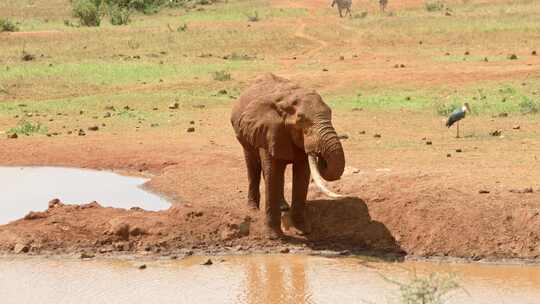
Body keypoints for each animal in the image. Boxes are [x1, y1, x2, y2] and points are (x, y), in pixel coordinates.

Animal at [230, 73, 344, 238]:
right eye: (301, 120)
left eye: (330, 113)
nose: (320, 155)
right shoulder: (268, 131)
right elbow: (273, 173)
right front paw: (274, 236)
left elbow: (302, 175)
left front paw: (303, 230)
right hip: (245, 134)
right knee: (253, 166)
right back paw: (253, 209)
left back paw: (283, 206)